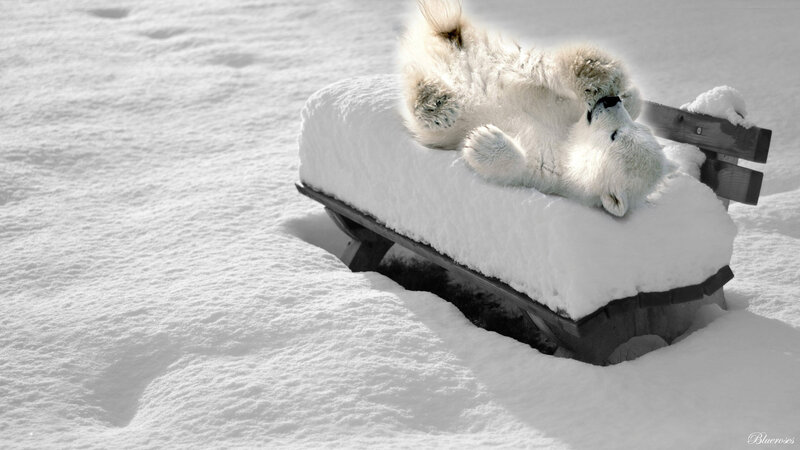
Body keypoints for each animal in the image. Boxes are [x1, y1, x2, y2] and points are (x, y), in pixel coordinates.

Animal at [399, 0, 665, 216]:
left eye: (614, 135)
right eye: (629, 128)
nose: (609, 101)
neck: (567, 143)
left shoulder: (550, 175)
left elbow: (517, 169)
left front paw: (482, 140)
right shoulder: (568, 112)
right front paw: (624, 93)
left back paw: (436, 104)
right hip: (499, 53)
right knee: (534, 65)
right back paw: (590, 68)